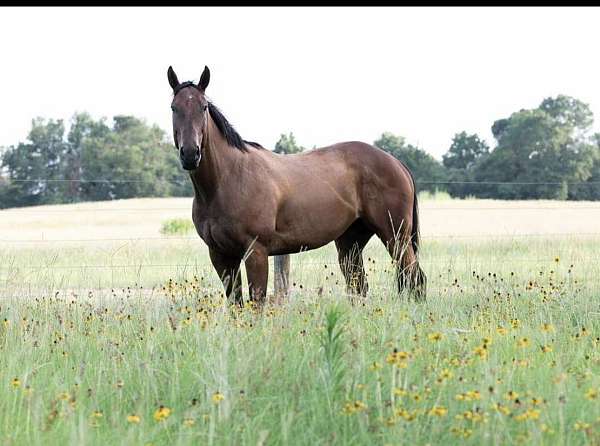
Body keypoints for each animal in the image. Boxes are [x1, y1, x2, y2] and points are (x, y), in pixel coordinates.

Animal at [166, 63, 424, 306]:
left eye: (203, 107)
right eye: (174, 108)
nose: (190, 154)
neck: (227, 179)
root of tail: (396, 163)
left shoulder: (256, 252)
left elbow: (257, 302)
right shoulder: (220, 255)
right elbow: (235, 303)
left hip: (396, 237)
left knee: (414, 278)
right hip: (350, 243)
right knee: (359, 286)